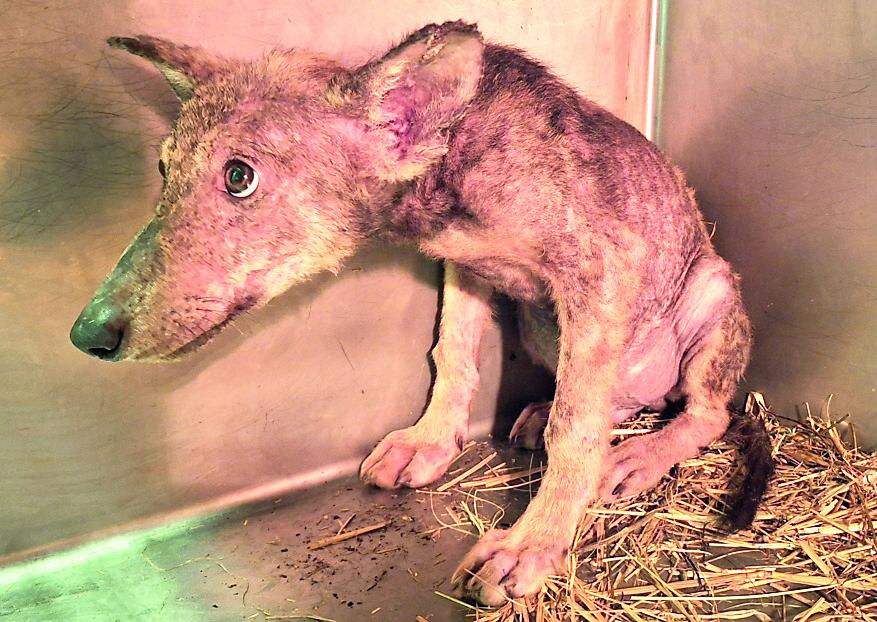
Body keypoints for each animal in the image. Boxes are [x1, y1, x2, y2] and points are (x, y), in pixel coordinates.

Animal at [70, 22, 770, 605]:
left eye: (239, 176)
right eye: (163, 171)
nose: (86, 334)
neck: (449, 175)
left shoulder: (602, 274)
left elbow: (576, 429)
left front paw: (531, 545)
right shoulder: (468, 269)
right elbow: (453, 355)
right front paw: (430, 442)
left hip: (709, 295)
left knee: (702, 412)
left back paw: (637, 457)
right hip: (541, 329)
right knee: (612, 395)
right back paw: (544, 414)